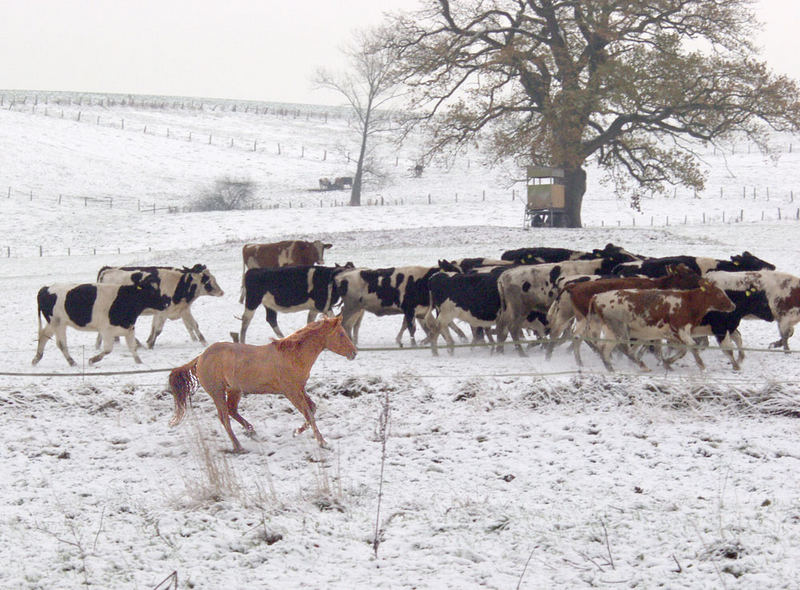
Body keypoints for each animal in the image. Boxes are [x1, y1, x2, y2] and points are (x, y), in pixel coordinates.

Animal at [32, 276, 170, 366]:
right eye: (151, 291)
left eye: (158, 289)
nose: (166, 303)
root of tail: (46, 288)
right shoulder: (106, 330)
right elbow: (108, 349)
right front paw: (92, 360)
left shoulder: (129, 328)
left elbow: (133, 348)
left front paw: (139, 362)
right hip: (58, 322)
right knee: (61, 343)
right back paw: (72, 362)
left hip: (54, 323)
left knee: (43, 335)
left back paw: (37, 358)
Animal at [99, 266, 227, 350]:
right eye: (208, 281)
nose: (221, 292)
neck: (179, 284)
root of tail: (108, 270)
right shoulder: (163, 312)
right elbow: (158, 330)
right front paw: (150, 345)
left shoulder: (183, 309)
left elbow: (194, 325)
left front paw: (204, 342)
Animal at [167, 320, 354, 454]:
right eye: (341, 334)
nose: (354, 353)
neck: (292, 356)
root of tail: (201, 357)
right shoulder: (291, 392)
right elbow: (309, 413)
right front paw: (323, 443)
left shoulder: (300, 389)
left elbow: (312, 410)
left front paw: (296, 431)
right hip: (217, 392)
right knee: (224, 418)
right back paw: (238, 446)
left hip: (235, 390)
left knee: (232, 411)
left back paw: (251, 432)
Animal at [584, 280, 736, 372]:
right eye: (719, 293)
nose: (733, 305)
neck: (687, 302)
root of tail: (597, 296)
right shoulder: (680, 329)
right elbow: (692, 346)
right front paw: (702, 365)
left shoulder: (672, 334)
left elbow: (683, 350)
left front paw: (667, 362)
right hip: (619, 328)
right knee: (624, 348)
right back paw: (642, 366)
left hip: (612, 330)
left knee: (604, 348)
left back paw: (611, 368)